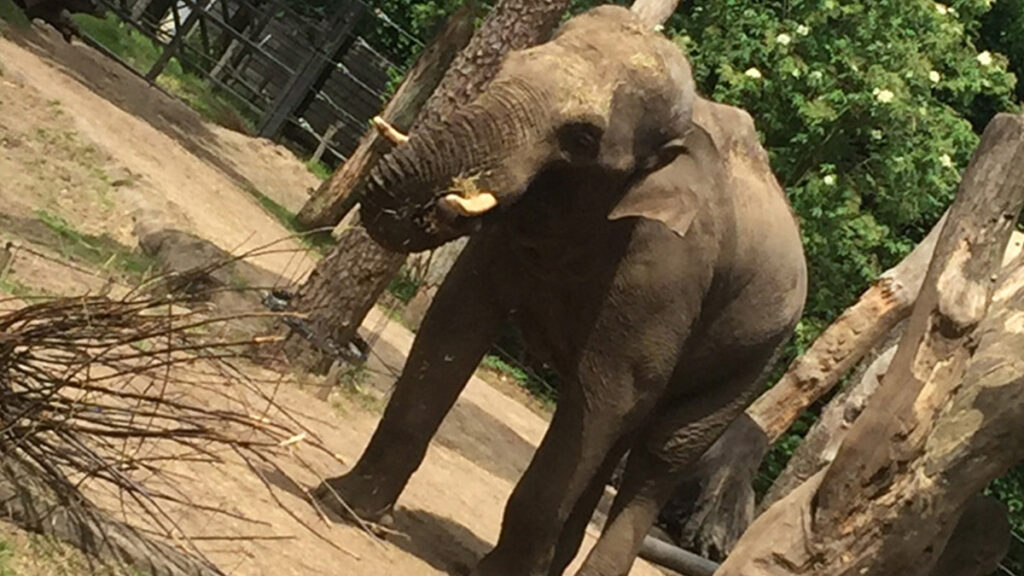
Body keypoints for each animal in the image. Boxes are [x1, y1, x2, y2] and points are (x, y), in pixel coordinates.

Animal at [311, 5, 806, 573]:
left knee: (660, 454)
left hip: (756, 359)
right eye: (509, 67)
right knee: (621, 441)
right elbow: (454, 324)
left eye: (584, 138)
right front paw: (342, 502)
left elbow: (605, 395)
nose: (444, 200)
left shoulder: (664, 267)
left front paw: (497, 575)